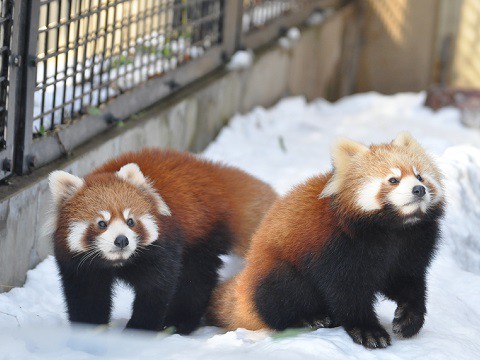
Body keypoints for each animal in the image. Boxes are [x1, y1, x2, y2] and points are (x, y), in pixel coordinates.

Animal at [47, 148, 278, 334]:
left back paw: (179, 322)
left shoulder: (162, 247)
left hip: (203, 235)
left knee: (195, 279)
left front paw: (138, 330)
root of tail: (212, 174)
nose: (122, 241)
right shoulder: (77, 263)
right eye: (102, 223)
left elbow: (156, 289)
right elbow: (86, 296)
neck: (119, 262)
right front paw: (87, 333)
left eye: (130, 221)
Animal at [207, 133, 446, 348]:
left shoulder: (411, 247)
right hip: (276, 269)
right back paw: (310, 317)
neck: (394, 229)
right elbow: (347, 293)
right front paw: (368, 330)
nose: (419, 189)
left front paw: (409, 318)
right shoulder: (337, 248)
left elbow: (408, 282)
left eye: (420, 176)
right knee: (280, 297)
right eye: (393, 180)